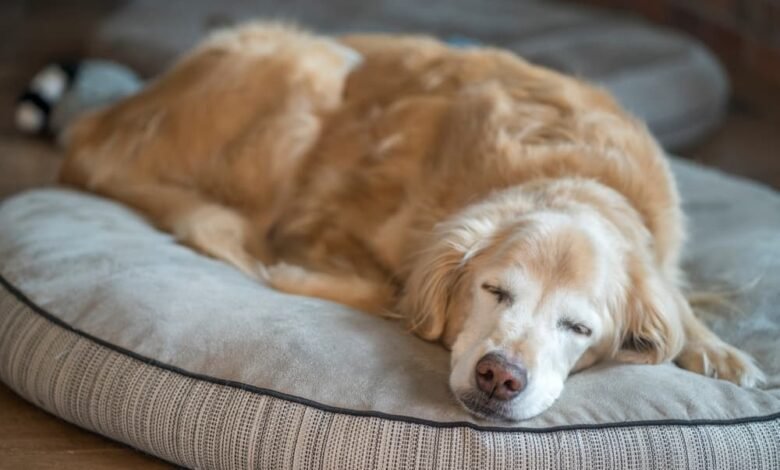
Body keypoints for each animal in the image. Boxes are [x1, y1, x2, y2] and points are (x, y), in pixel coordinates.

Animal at [58, 22, 764, 420]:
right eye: (493, 290)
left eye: (578, 327)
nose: (499, 376)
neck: (578, 174)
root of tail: (99, 121)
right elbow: (378, 284)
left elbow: (681, 310)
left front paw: (722, 354)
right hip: (319, 65)